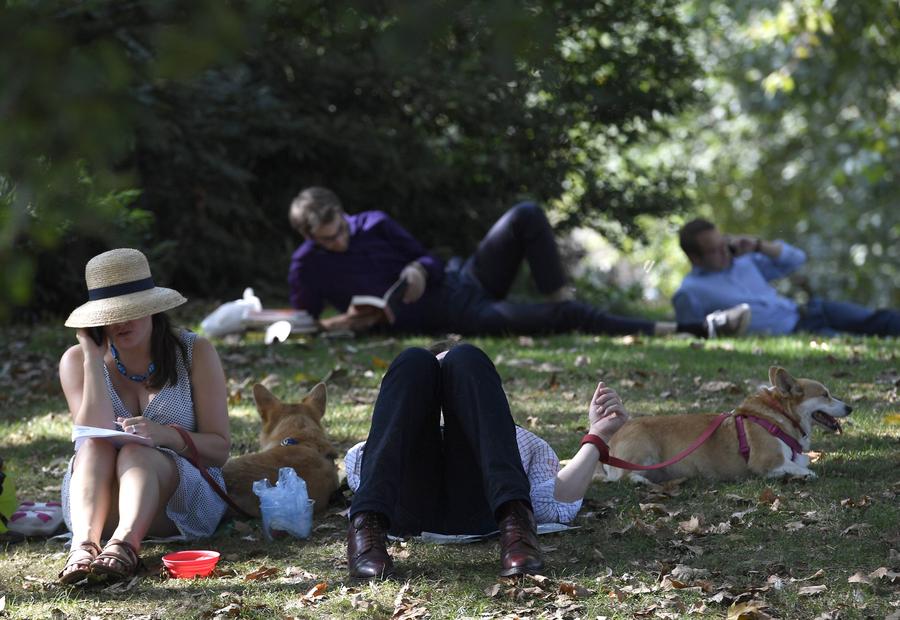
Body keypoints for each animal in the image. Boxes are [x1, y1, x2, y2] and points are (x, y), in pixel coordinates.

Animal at [604, 368, 852, 484]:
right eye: (825, 395)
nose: (850, 408)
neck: (780, 416)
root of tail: (611, 442)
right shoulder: (768, 461)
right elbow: (807, 470)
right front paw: (799, 475)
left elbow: (803, 463)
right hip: (644, 452)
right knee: (622, 477)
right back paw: (639, 481)